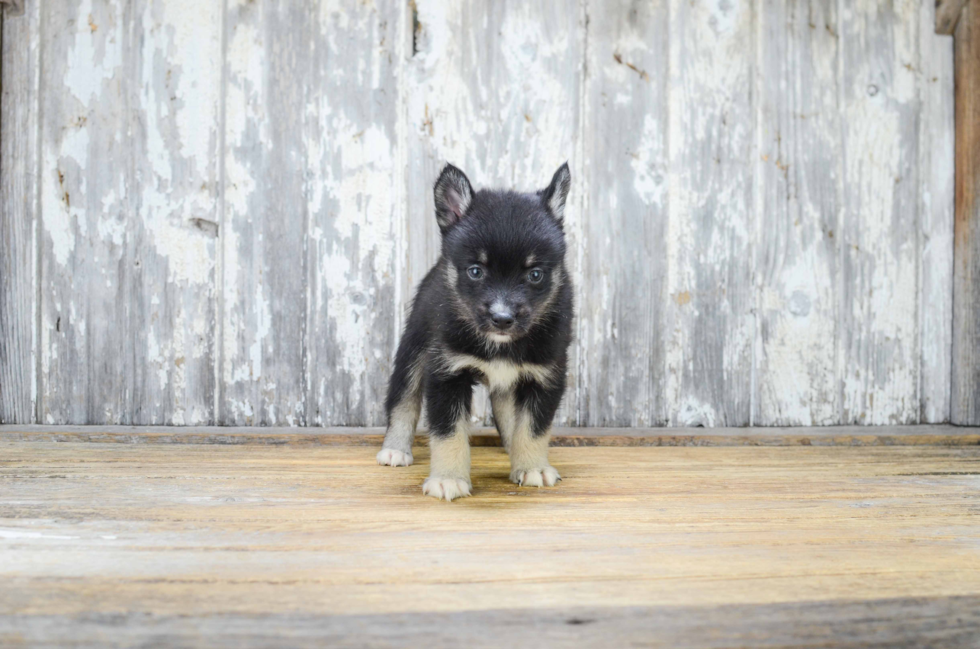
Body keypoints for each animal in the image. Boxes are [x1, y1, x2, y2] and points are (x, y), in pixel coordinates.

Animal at [376, 163, 576, 502]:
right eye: (475, 271)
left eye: (535, 275)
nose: (502, 318)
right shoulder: (446, 374)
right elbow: (449, 432)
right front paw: (448, 479)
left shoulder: (546, 376)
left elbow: (532, 428)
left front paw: (532, 466)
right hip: (413, 349)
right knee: (403, 400)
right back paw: (395, 449)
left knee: (507, 409)